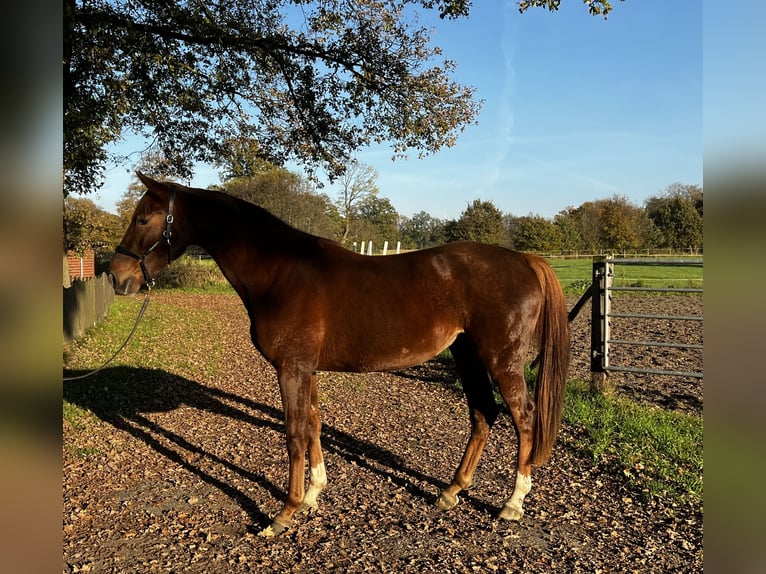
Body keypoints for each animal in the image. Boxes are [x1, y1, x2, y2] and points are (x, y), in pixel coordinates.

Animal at [108, 173, 568, 536]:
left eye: (143, 219)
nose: (116, 276)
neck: (281, 271)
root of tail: (525, 260)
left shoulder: (292, 369)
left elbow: (294, 434)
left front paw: (284, 513)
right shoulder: (307, 370)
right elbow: (313, 425)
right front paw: (313, 493)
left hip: (501, 361)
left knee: (524, 418)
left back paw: (512, 503)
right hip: (467, 355)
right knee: (482, 414)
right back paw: (451, 491)